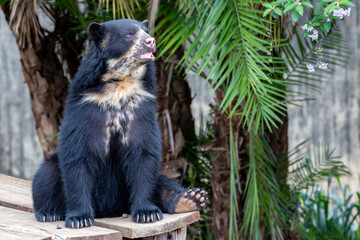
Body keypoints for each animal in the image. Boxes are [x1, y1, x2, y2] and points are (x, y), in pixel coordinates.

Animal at [32, 19, 210, 228]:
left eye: (146, 31)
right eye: (129, 34)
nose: (151, 41)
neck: (120, 85)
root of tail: (110, 210)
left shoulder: (140, 110)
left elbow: (144, 156)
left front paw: (147, 214)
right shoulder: (85, 108)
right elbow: (78, 156)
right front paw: (79, 219)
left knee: (163, 182)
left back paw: (192, 198)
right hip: (51, 167)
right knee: (46, 176)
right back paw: (49, 212)